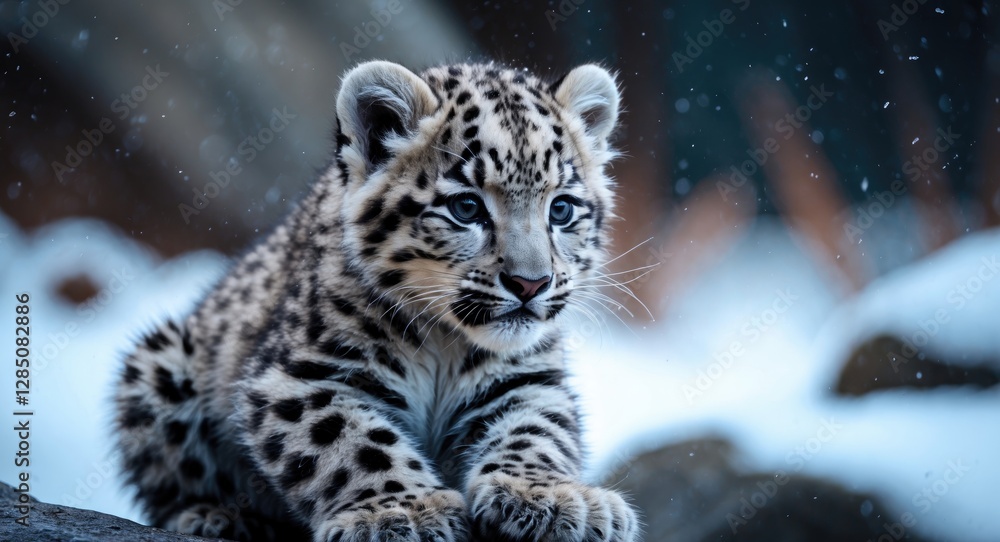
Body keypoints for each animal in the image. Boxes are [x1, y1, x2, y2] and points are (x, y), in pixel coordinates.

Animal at [114, 60, 640, 542]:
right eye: (466, 207)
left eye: (562, 209)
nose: (531, 283)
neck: (447, 345)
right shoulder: (300, 378)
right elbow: (352, 444)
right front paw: (402, 511)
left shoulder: (525, 378)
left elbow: (537, 432)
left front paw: (553, 497)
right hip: (159, 365)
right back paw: (219, 518)